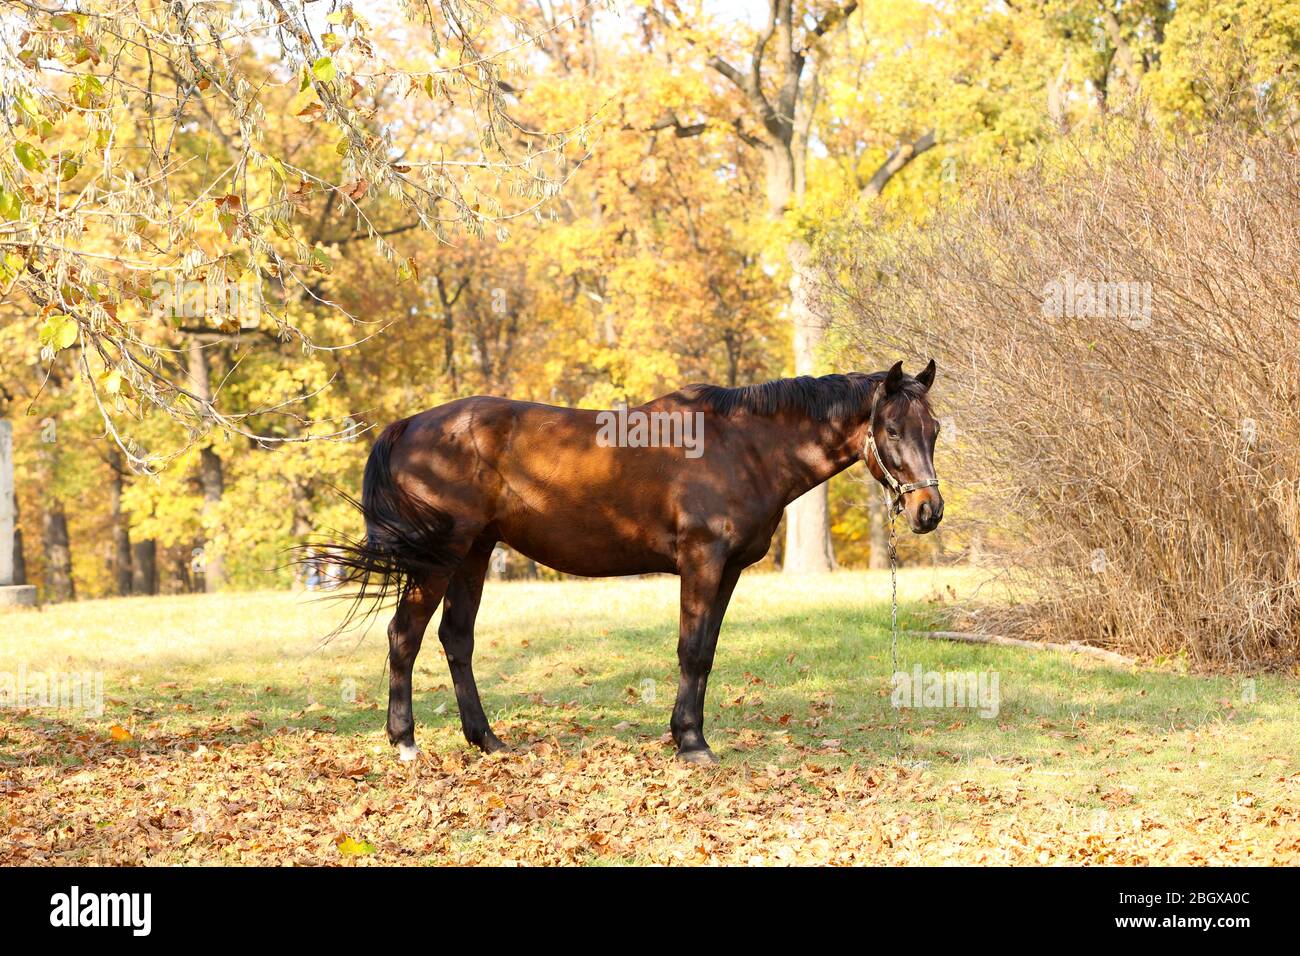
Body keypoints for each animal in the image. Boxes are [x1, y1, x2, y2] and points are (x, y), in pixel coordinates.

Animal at [324, 360, 944, 765]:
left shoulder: (728, 572)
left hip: (473, 554)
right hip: (440, 558)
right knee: (404, 636)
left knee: (456, 639)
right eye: (892, 429)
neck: (743, 446)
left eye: (933, 430)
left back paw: (488, 740)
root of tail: (409, 425)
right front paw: (691, 744)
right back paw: (405, 742)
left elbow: (706, 653)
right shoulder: (701, 561)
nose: (928, 511)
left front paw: (686, 734)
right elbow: (690, 651)